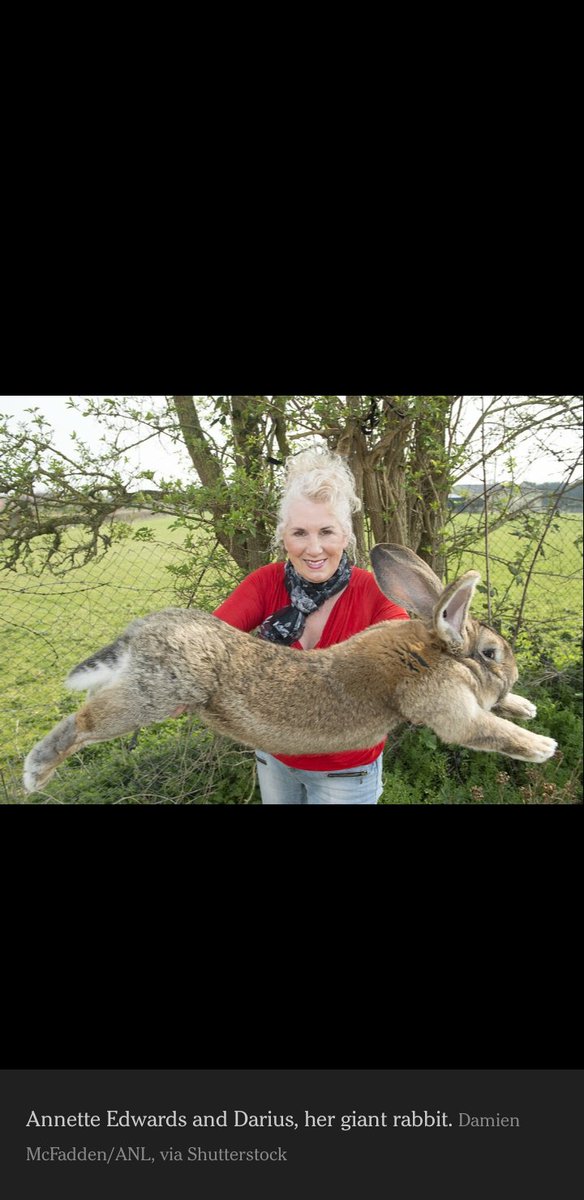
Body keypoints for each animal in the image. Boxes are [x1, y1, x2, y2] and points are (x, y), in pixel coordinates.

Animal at [22, 543, 557, 794]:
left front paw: (524, 706)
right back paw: (35, 774)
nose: (512, 674)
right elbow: (485, 729)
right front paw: (542, 746)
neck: (432, 651)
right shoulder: (448, 708)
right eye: (491, 653)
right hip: (151, 696)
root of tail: (141, 632)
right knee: (83, 722)